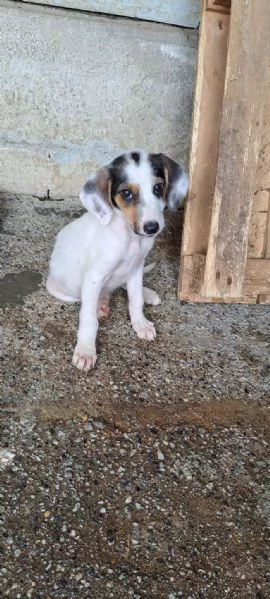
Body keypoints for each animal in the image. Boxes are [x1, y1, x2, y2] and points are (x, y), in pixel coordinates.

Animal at [46, 150, 189, 370]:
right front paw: (86, 350)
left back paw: (145, 294)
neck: (130, 237)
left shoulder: (136, 267)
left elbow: (135, 300)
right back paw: (100, 305)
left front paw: (140, 323)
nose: (152, 228)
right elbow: (88, 318)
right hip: (61, 290)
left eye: (158, 188)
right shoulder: (94, 277)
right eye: (126, 193)